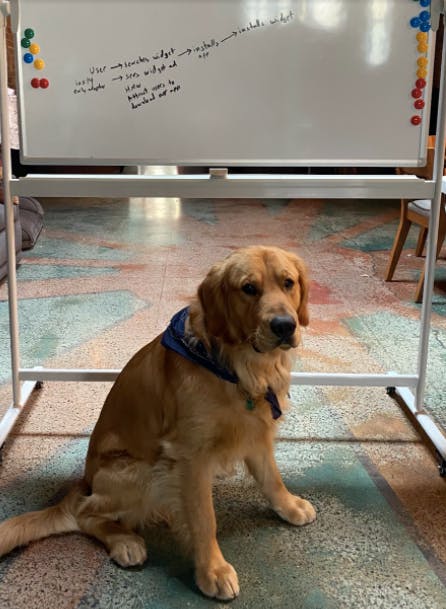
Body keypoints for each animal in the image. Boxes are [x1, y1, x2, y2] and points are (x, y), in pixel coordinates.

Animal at [0, 246, 316, 600]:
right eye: (248, 288)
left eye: (288, 283)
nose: (285, 326)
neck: (237, 367)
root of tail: (85, 481)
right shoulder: (191, 455)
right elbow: (204, 518)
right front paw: (212, 571)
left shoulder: (256, 432)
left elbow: (271, 478)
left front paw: (289, 506)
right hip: (144, 470)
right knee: (86, 513)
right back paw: (125, 541)